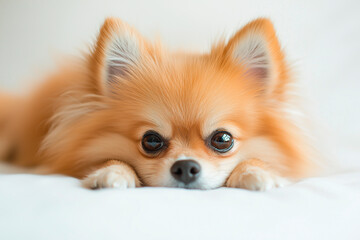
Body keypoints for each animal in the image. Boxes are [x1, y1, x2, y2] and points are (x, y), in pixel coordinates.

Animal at [0, 16, 316, 190]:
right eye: (151, 140)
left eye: (223, 139)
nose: (186, 167)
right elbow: (109, 160)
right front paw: (112, 172)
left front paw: (256, 172)